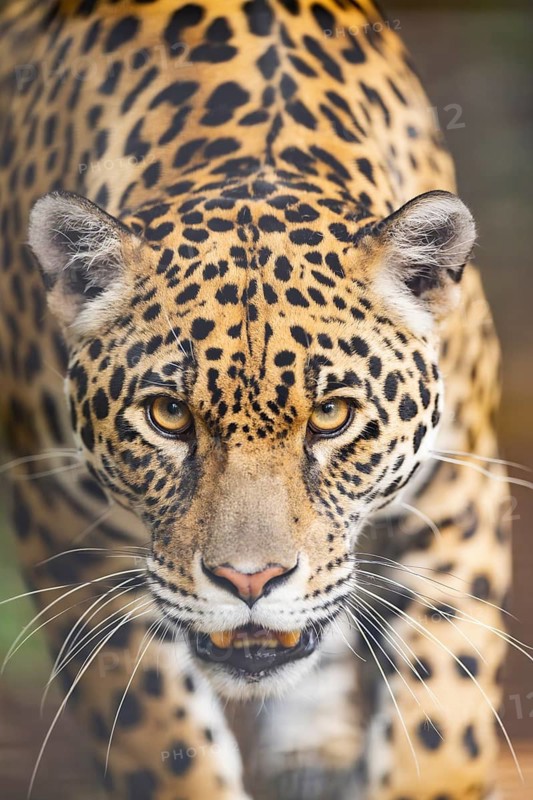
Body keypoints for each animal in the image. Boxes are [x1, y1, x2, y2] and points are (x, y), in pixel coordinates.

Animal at [0, 1, 512, 799]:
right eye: (168, 416)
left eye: (332, 416)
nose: (250, 581)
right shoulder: (63, 528)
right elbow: (159, 739)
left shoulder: (464, 498)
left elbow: (441, 722)